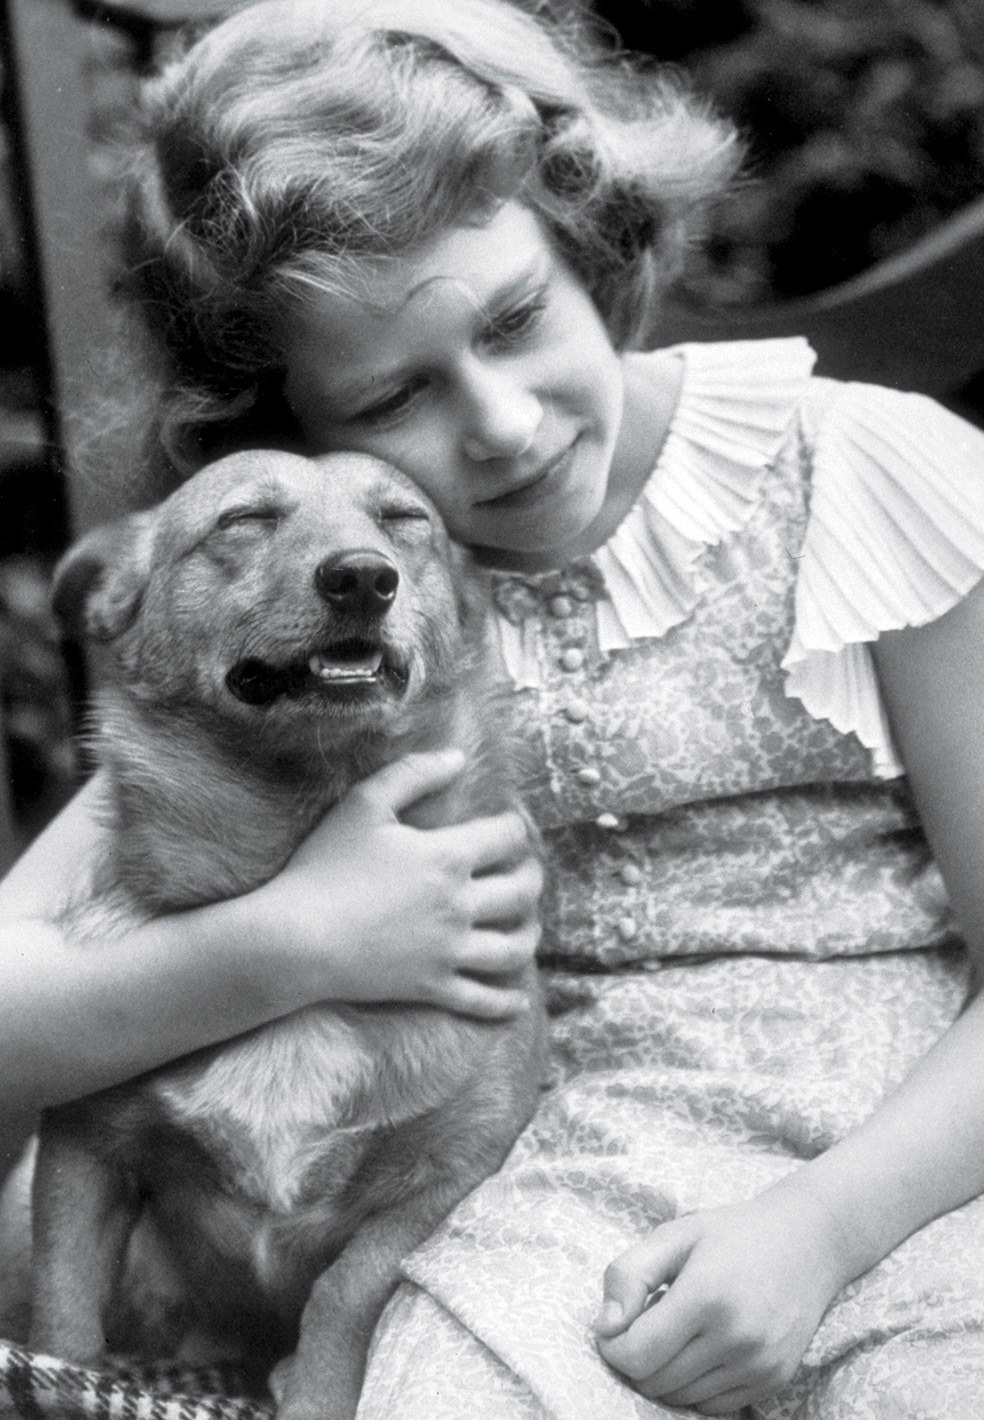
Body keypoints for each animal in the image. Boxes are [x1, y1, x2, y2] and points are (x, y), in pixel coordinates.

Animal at [30, 451, 542, 1420]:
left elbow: (349, 1286)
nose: (363, 577)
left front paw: (312, 1386)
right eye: (244, 520)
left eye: (404, 520)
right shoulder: (82, 1151)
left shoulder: (457, 1167)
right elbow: (62, 1328)